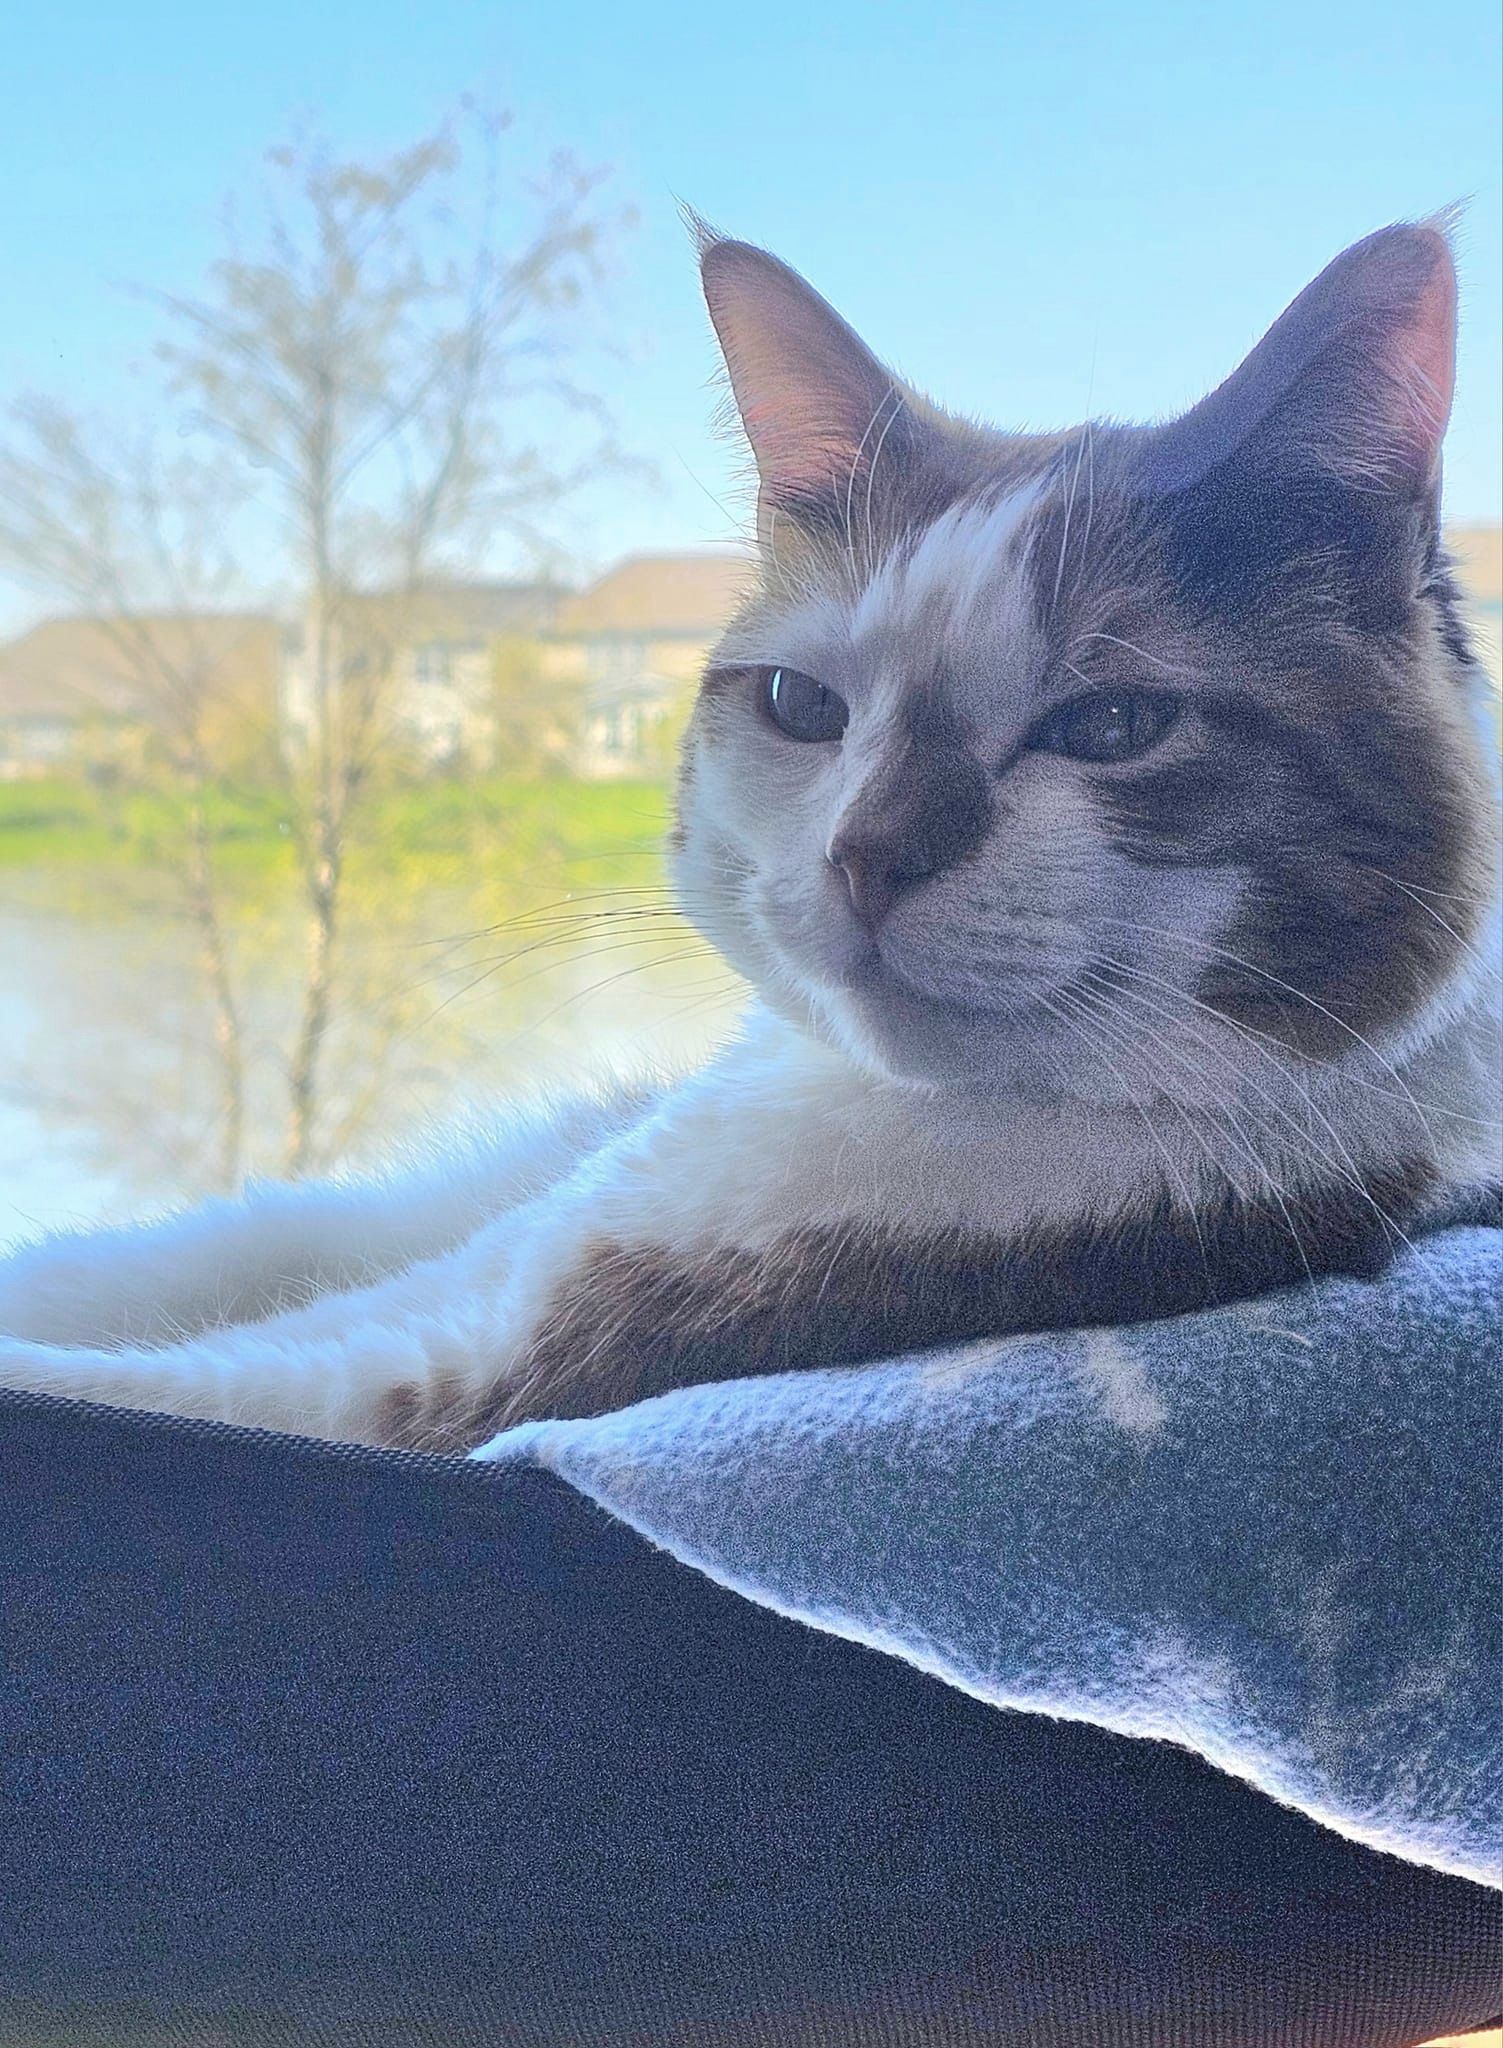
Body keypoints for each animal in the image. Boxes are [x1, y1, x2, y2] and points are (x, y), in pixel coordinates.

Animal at [0, 216, 1498, 1449]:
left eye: (1115, 724)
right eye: (799, 704)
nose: (866, 856)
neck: (841, 1105)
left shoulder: (509, 1348)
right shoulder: (525, 1184)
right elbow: (235, 1236)